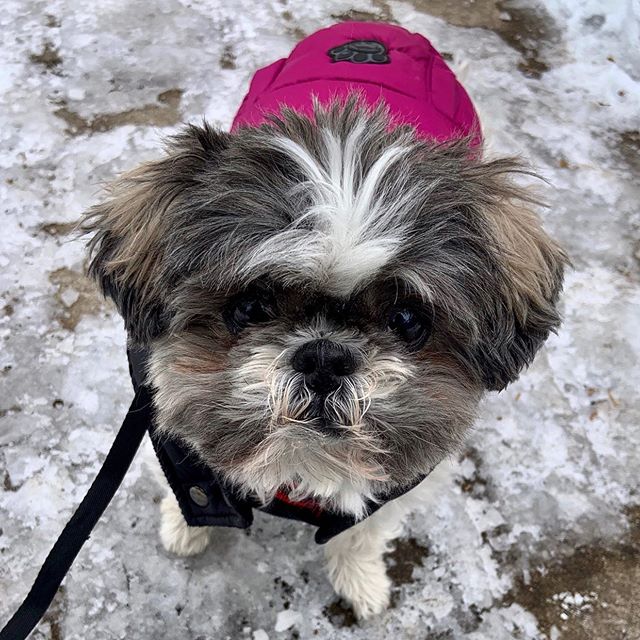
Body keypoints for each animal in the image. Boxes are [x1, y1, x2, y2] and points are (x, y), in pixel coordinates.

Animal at [80, 22, 564, 616]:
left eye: (407, 319)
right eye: (251, 306)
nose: (324, 357)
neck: (301, 469)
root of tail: (372, 29)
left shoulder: (402, 478)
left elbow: (362, 530)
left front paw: (361, 580)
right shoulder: (168, 434)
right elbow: (186, 485)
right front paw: (185, 528)